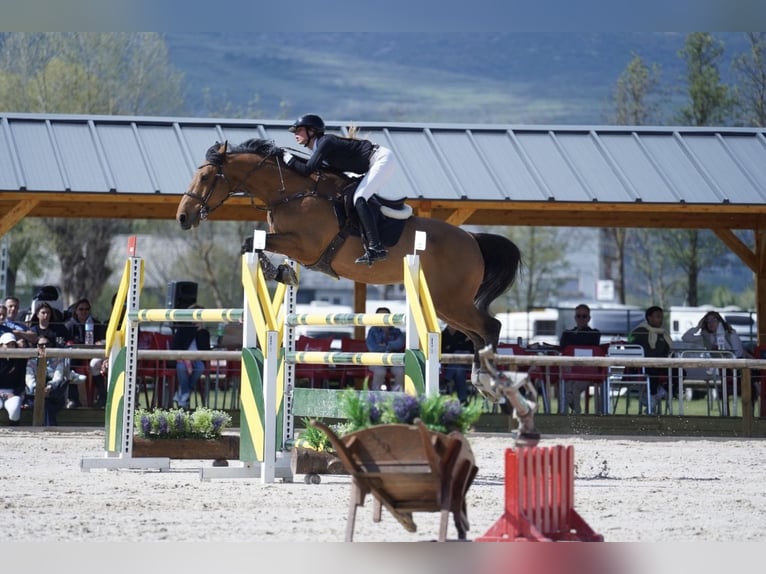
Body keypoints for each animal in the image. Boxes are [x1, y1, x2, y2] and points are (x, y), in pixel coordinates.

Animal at [176, 141, 536, 440]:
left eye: (206, 176)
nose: (183, 217)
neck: (291, 193)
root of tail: (473, 239)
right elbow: (254, 243)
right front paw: (280, 272)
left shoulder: (306, 246)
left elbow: (252, 240)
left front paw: (275, 270)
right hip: (446, 304)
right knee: (478, 334)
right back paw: (491, 387)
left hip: (451, 300)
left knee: (490, 327)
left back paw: (491, 384)